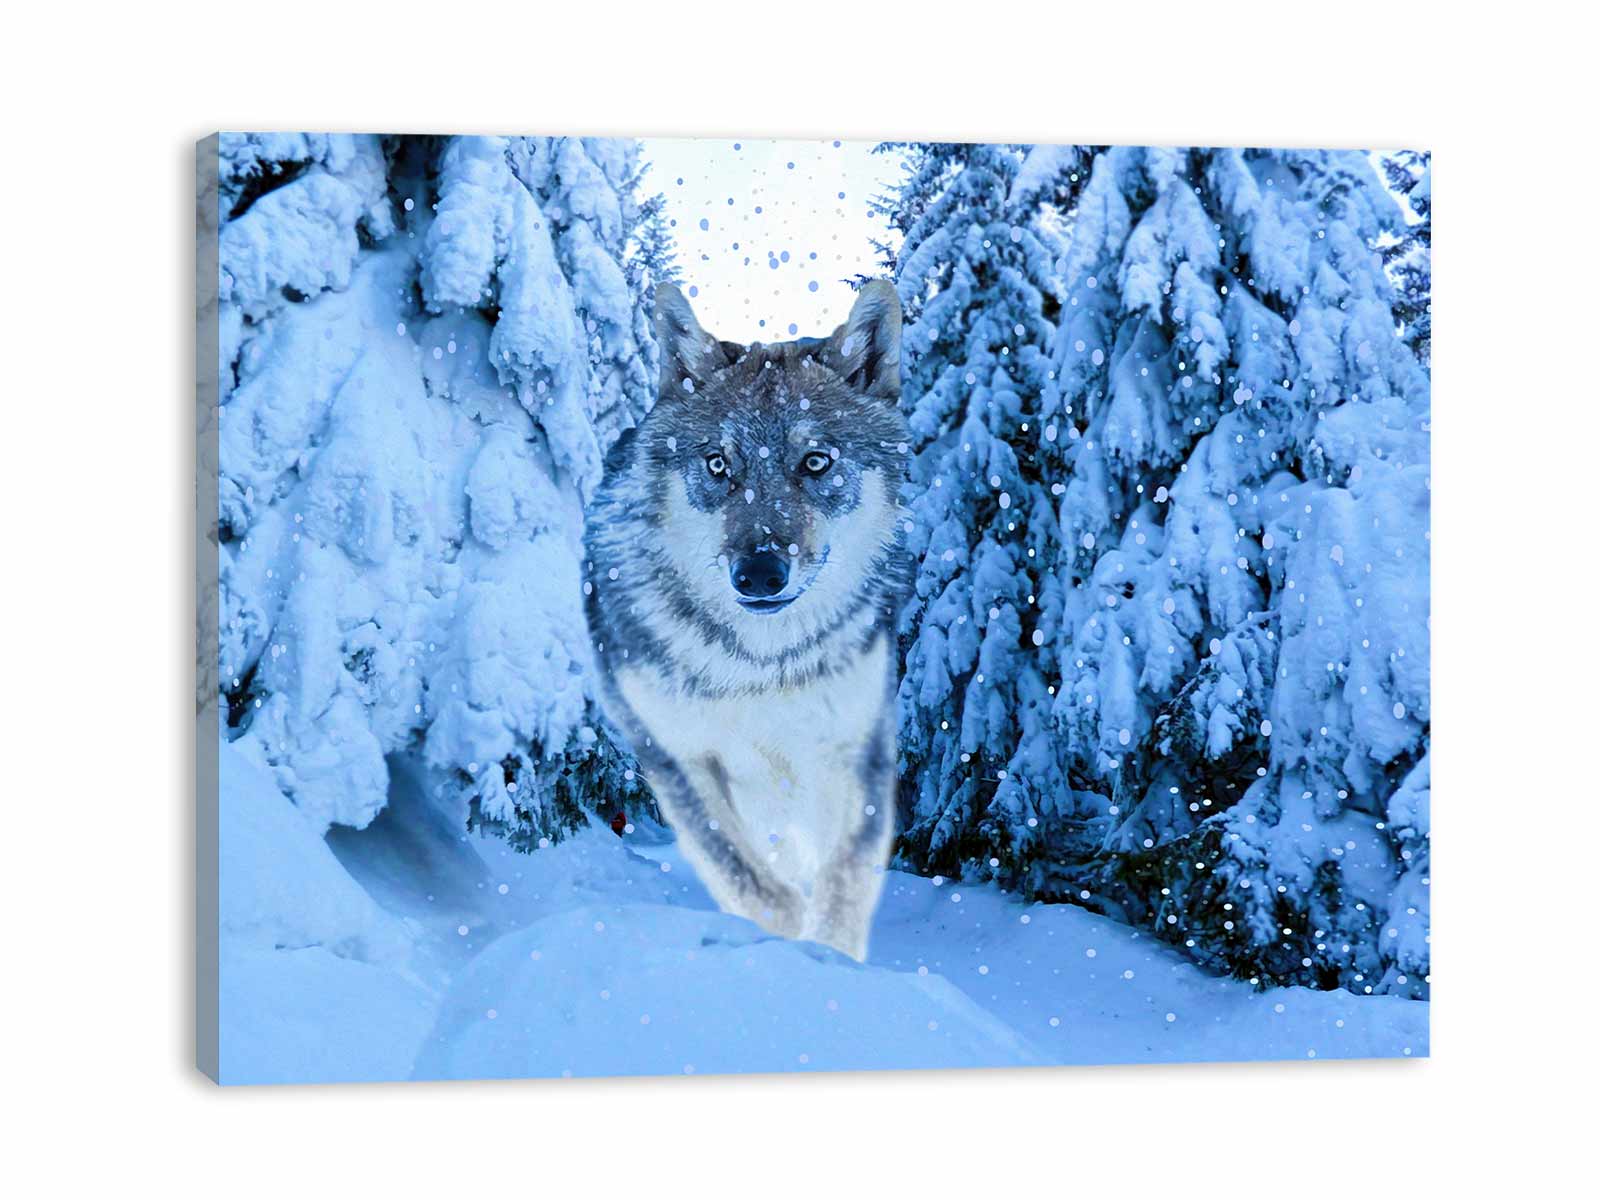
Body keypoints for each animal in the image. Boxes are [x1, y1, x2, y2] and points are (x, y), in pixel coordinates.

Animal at [582, 281, 912, 961]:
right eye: (717, 464)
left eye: (815, 462)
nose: (759, 574)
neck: (761, 664)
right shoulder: (675, 755)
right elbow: (744, 876)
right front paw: (781, 944)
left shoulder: (852, 747)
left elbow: (844, 876)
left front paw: (829, 957)